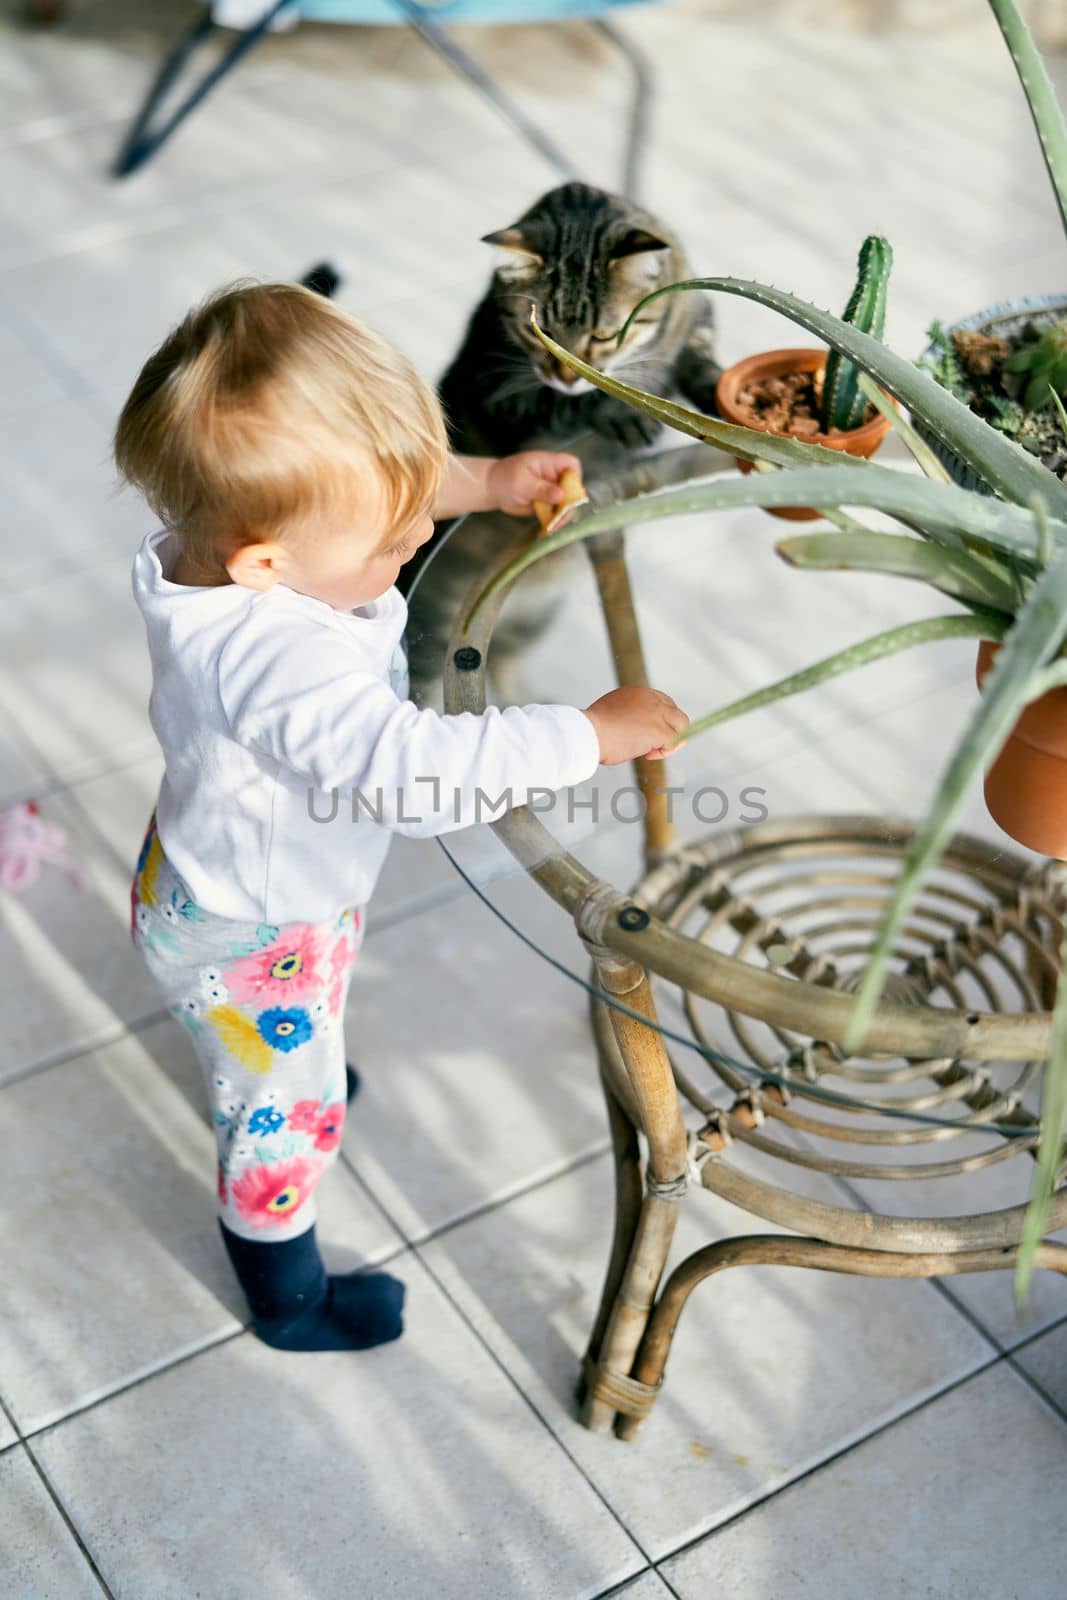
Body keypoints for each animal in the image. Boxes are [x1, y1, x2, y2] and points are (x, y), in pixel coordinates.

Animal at [403, 180, 726, 700]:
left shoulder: (699, 311)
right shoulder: (501, 390)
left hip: (535, 618)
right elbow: (574, 401)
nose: (566, 374)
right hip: (436, 619)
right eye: (540, 330)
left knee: (506, 659)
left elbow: (700, 361)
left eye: (604, 335)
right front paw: (622, 411)